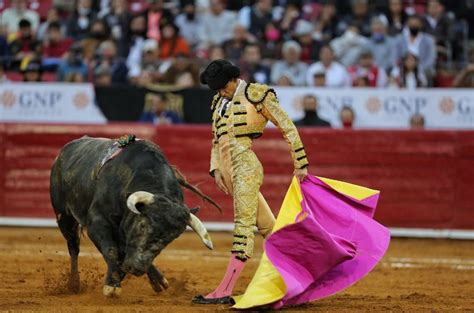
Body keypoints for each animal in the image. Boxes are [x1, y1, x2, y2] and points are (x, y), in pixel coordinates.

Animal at [50, 136, 220, 294]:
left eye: (170, 239)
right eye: (143, 225)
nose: (137, 268)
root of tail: (64, 151)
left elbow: (123, 252)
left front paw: (154, 280)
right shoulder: (97, 222)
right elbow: (112, 250)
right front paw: (112, 285)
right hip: (64, 217)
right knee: (73, 246)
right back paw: (74, 284)